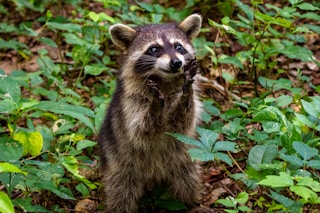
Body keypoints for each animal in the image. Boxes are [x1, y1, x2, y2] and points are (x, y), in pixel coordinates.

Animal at [97, 14, 202, 212]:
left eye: (178, 46)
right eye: (154, 49)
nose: (176, 63)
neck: (164, 80)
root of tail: (154, 177)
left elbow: (182, 123)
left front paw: (186, 93)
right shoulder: (130, 102)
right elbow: (140, 131)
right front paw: (155, 106)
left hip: (184, 159)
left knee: (188, 180)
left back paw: (191, 202)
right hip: (120, 165)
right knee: (121, 193)